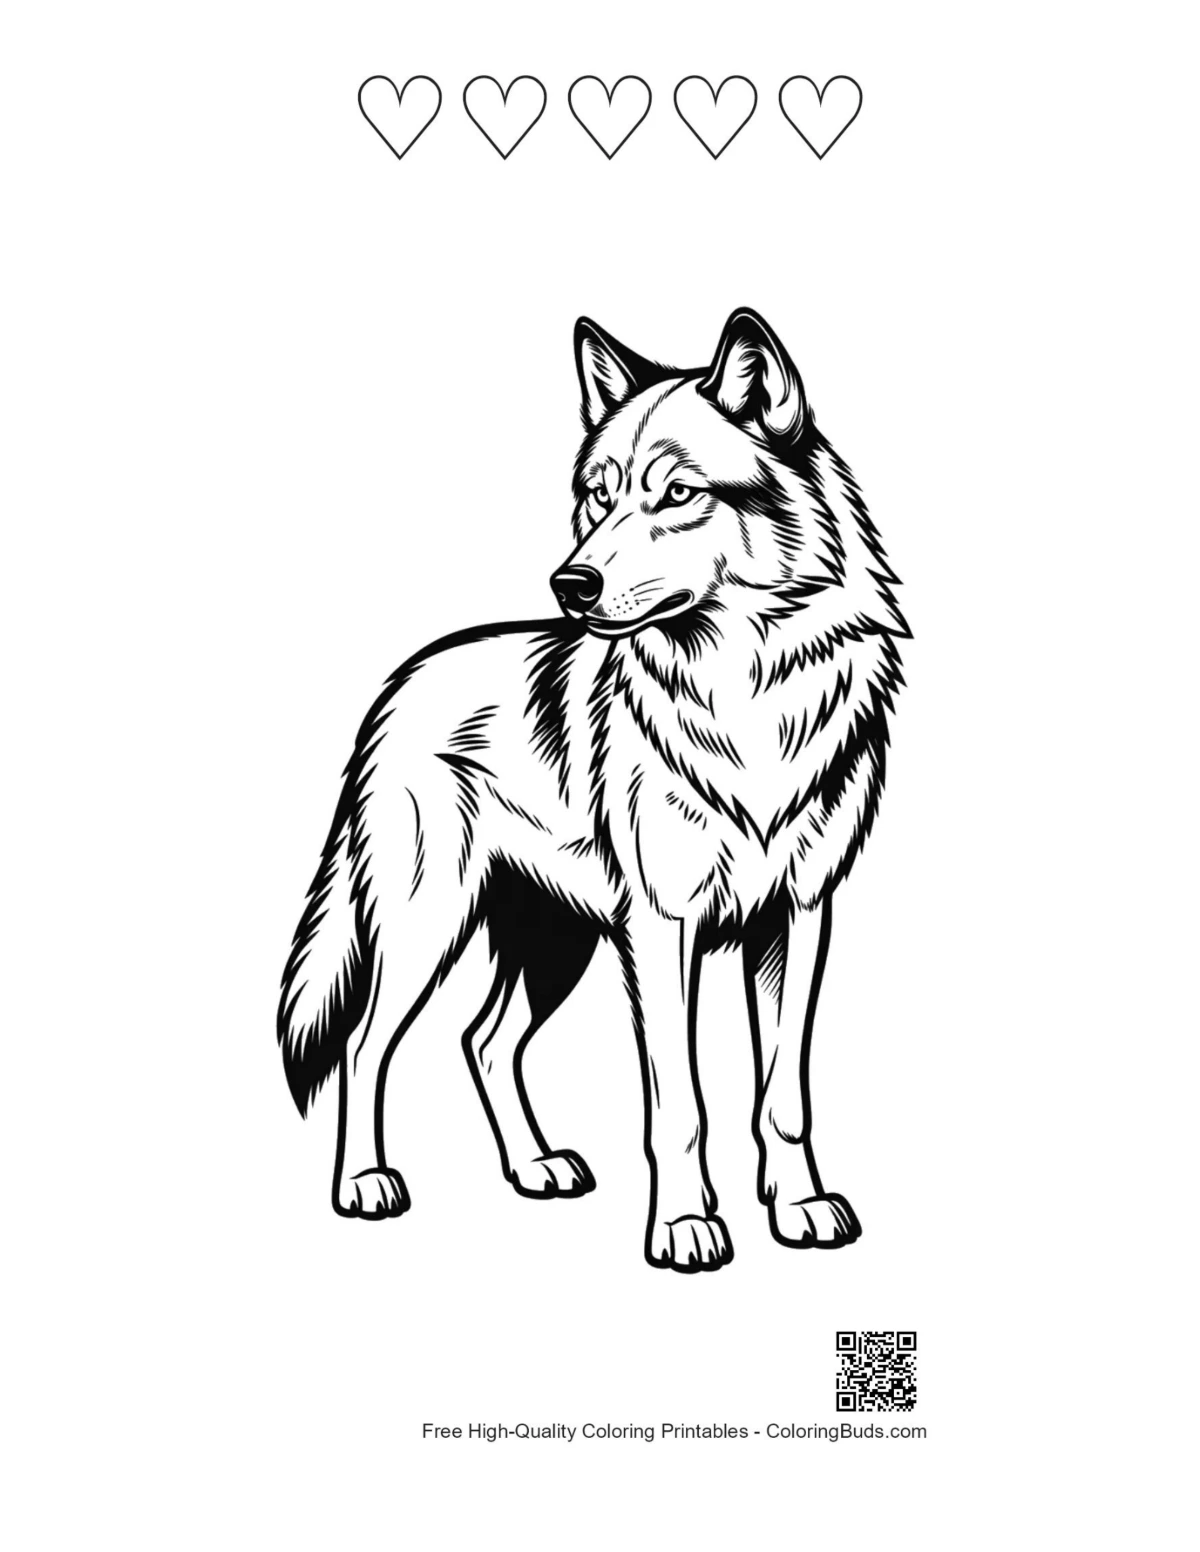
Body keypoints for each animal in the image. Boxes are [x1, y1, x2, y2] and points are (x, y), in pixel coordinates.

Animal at [278, 308, 909, 1272]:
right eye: (597, 497)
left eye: (677, 494)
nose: (570, 583)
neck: (748, 695)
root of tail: (397, 686)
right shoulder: (663, 926)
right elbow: (680, 1105)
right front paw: (685, 1227)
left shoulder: (799, 917)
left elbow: (781, 1097)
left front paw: (798, 1208)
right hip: (432, 928)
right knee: (364, 1045)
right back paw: (365, 1186)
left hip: (555, 942)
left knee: (483, 1041)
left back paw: (535, 1166)